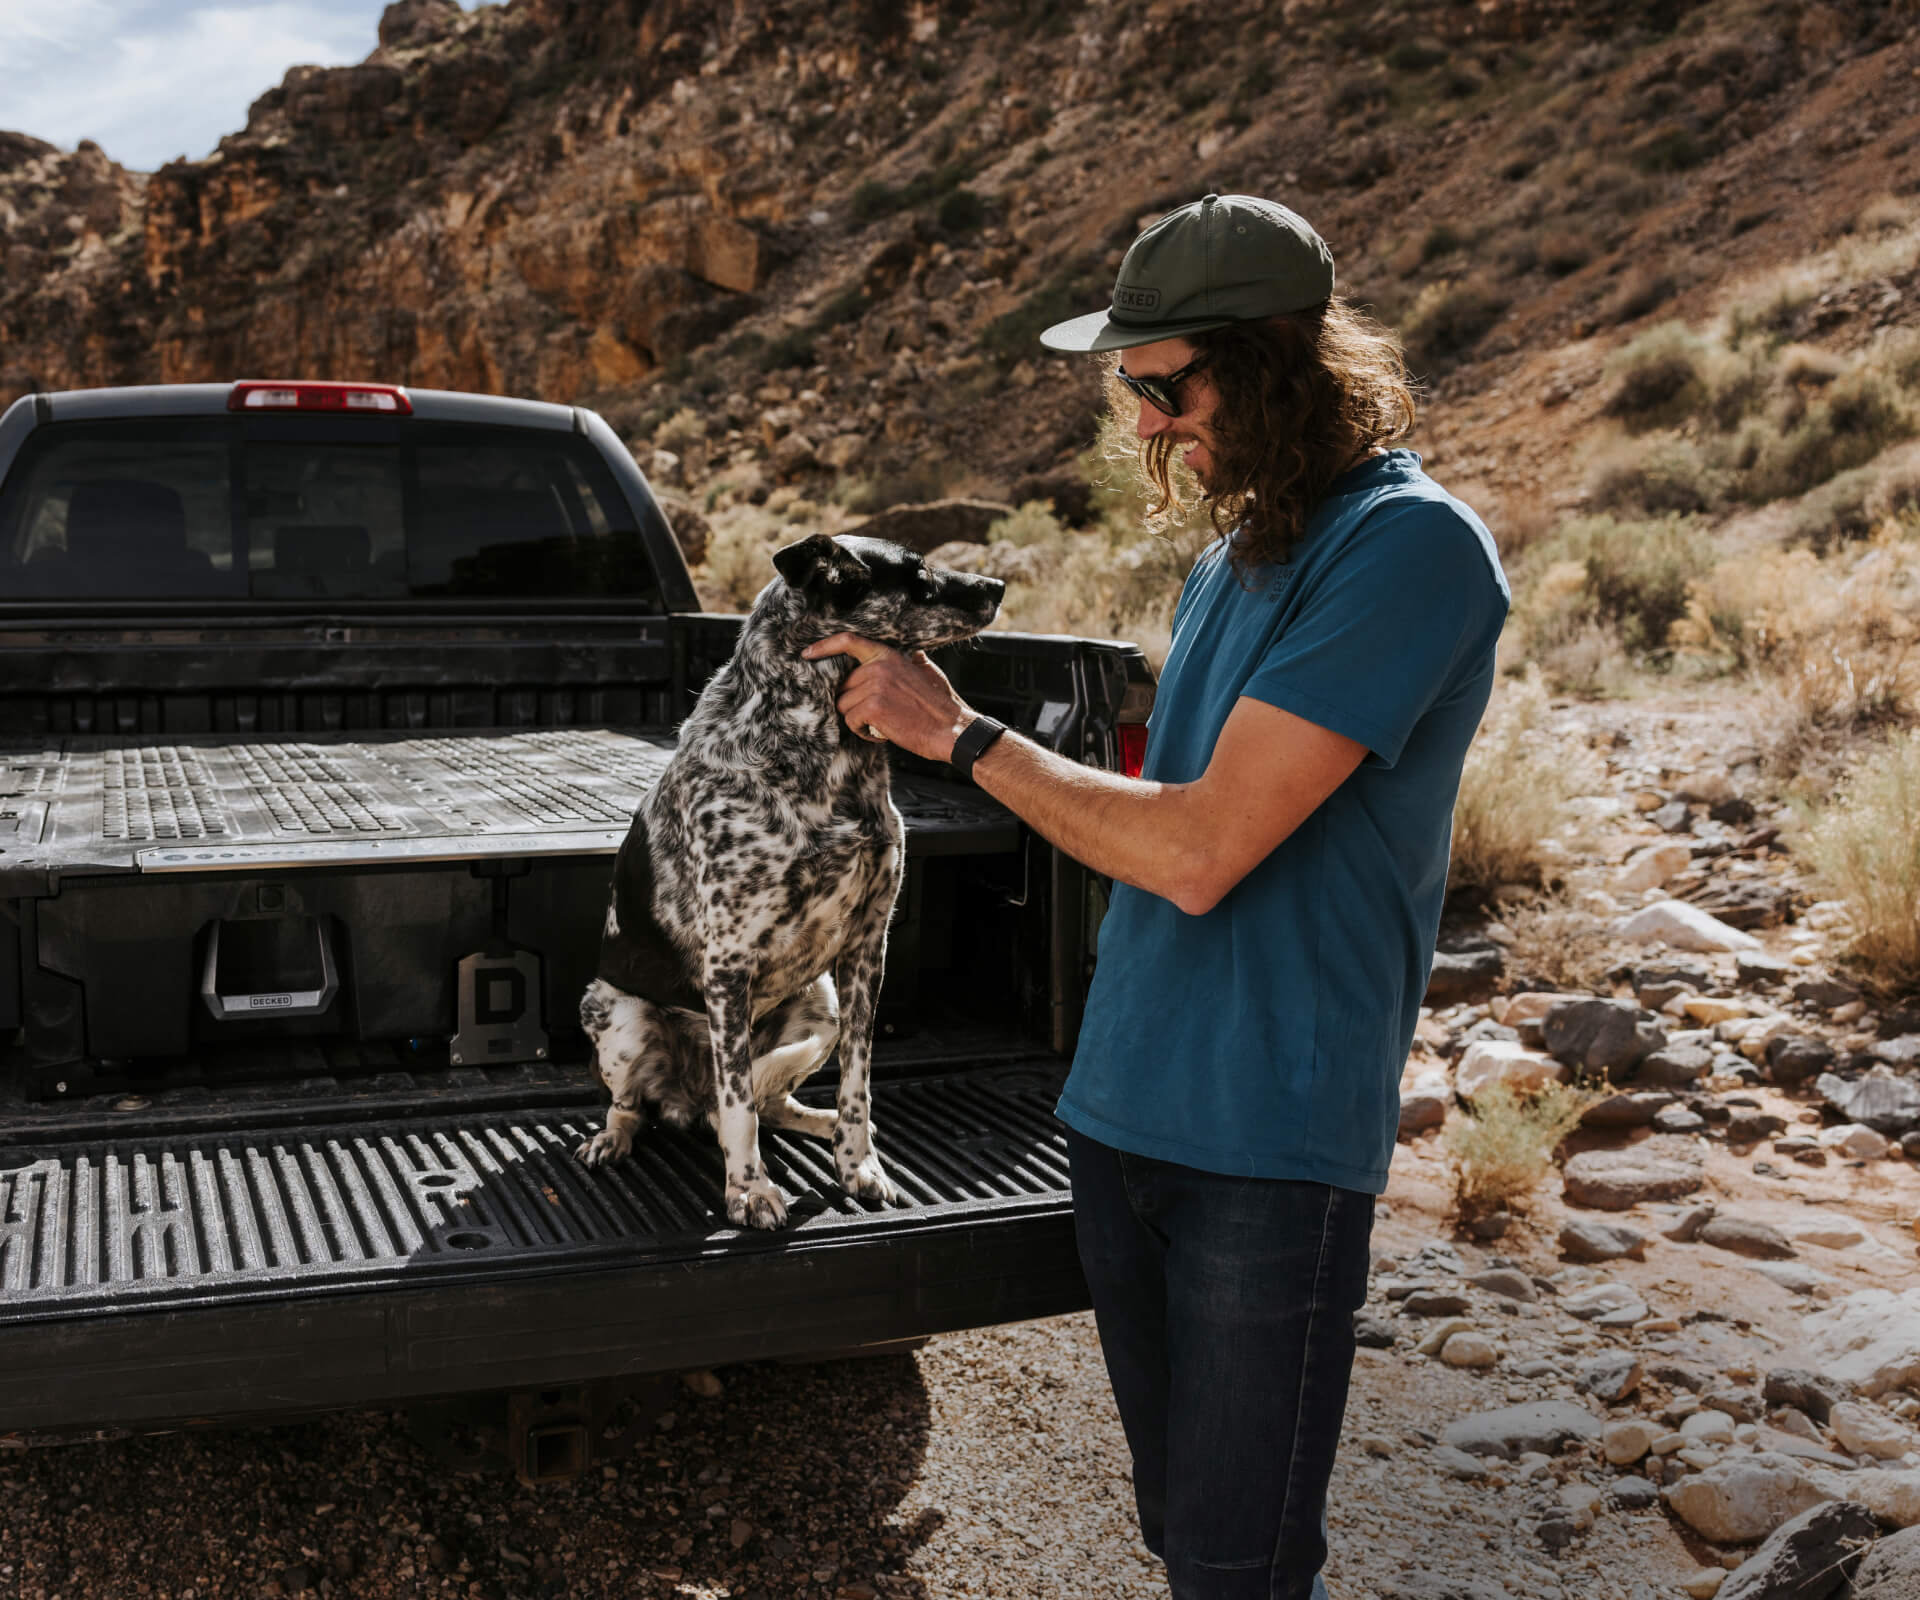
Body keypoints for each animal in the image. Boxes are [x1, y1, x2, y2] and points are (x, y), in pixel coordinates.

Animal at [572, 530, 1006, 1229]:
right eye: (916, 574)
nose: (998, 587)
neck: (828, 751)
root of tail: (686, 1098)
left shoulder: (866, 951)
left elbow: (857, 1085)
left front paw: (858, 1165)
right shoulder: (727, 967)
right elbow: (739, 1106)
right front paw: (750, 1190)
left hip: (820, 1002)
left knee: (771, 1100)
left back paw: (822, 1124)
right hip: (620, 1015)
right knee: (641, 1104)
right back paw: (613, 1137)